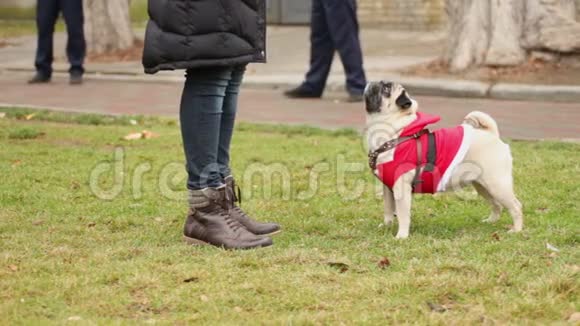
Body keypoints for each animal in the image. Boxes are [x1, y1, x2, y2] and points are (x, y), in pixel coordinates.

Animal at [364, 81, 524, 239]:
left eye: (386, 89)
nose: (374, 82)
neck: (396, 133)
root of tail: (492, 135)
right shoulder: (388, 188)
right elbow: (388, 209)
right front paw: (387, 226)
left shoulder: (401, 188)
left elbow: (403, 215)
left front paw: (401, 236)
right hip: (482, 185)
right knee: (496, 205)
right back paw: (490, 221)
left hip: (497, 185)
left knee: (516, 206)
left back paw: (516, 230)